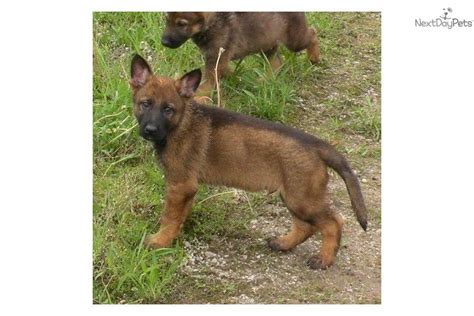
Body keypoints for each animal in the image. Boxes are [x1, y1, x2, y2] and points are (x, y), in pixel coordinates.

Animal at [130, 54, 366, 270]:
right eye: (145, 104)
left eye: (168, 109)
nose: (150, 130)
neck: (179, 124)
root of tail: (316, 145)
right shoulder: (185, 188)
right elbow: (178, 216)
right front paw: (172, 237)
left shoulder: (180, 185)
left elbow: (169, 217)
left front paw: (159, 241)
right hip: (294, 196)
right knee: (305, 226)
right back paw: (284, 243)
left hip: (302, 199)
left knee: (333, 223)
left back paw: (324, 259)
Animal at [161, 12, 320, 95]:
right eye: (166, 19)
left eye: (181, 24)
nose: (163, 42)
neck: (212, 23)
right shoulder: (217, 58)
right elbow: (226, 71)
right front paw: (235, 77)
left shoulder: (216, 58)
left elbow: (207, 82)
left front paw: (200, 97)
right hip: (266, 43)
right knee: (276, 62)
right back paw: (263, 81)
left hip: (295, 40)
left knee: (312, 33)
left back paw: (314, 57)